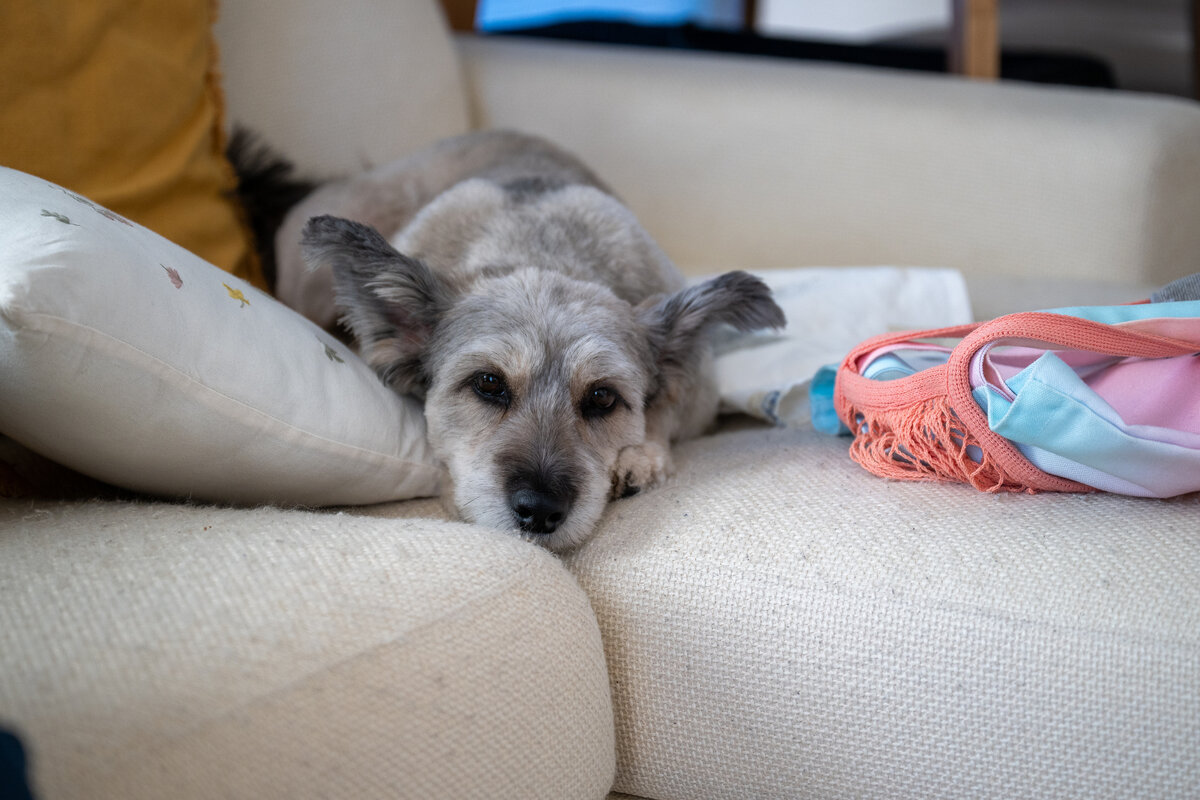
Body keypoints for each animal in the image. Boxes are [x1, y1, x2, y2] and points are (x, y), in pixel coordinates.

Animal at [233, 130, 785, 550]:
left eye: (603, 397)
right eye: (488, 383)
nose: (539, 512)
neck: (539, 248)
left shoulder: (701, 390)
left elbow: (670, 406)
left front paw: (641, 457)